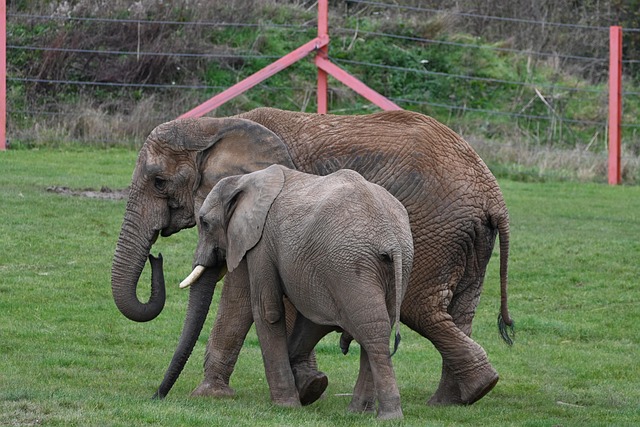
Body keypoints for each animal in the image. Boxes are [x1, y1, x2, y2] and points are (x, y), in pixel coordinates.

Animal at [179, 165, 413, 419]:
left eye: (204, 223)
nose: (160, 394)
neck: (248, 178)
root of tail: (390, 238)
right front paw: (308, 388)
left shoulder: (262, 241)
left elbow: (267, 310)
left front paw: (286, 405)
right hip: (392, 266)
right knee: (376, 327)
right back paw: (358, 413)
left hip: (350, 266)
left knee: (371, 330)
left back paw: (387, 416)